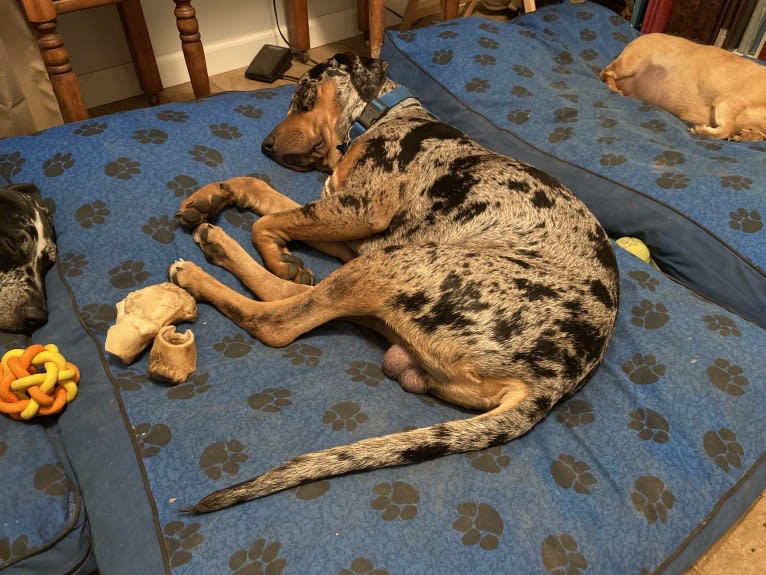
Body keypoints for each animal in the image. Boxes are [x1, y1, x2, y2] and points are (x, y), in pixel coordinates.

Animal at [604, 33, 764, 142]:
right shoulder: (727, 103)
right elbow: (726, 128)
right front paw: (702, 131)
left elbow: (757, 135)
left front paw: (743, 134)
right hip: (628, 64)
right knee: (605, 73)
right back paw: (612, 86)